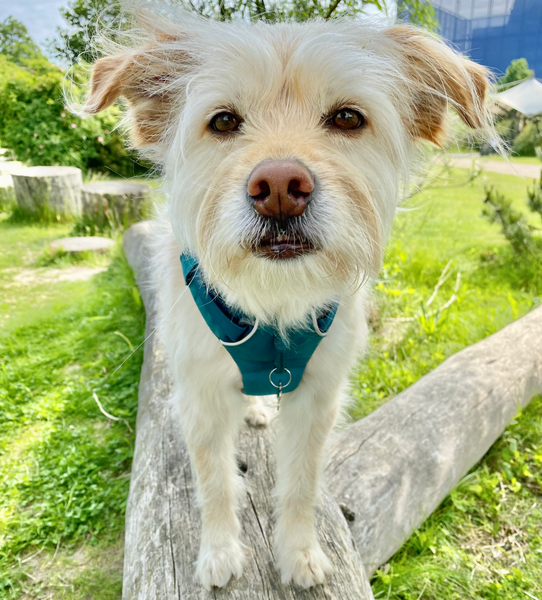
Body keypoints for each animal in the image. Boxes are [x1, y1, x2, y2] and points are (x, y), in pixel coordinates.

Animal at [83, 3, 496, 584]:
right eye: (223, 121)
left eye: (347, 118)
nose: (279, 187)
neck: (273, 302)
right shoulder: (201, 396)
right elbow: (214, 480)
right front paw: (218, 553)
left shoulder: (317, 398)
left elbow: (302, 482)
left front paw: (300, 554)